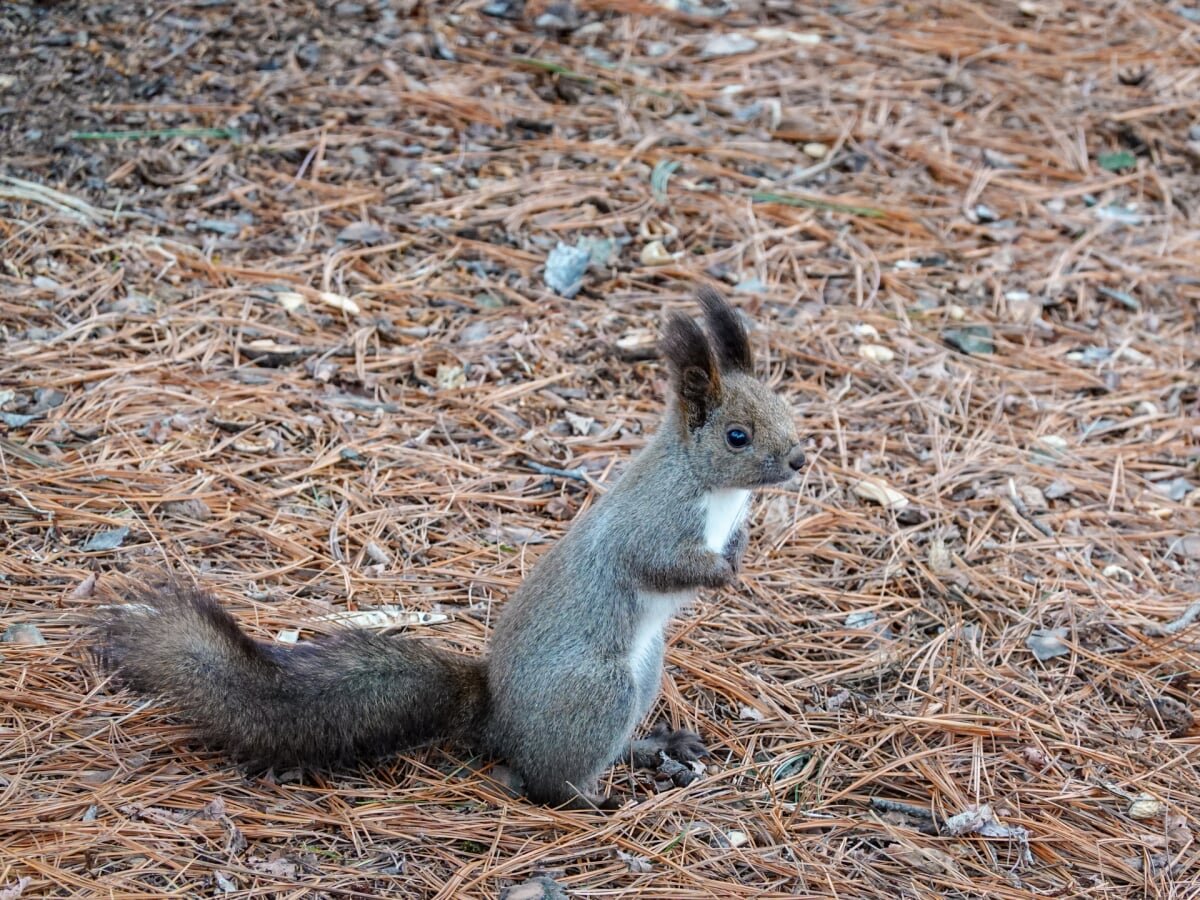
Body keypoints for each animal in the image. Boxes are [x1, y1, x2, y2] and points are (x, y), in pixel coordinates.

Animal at [96, 289, 806, 811]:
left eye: (784, 407)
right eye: (738, 436)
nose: (801, 460)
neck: (715, 492)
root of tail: (497, 721)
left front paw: (740, 555)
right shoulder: (651, 524)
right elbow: (657, 563)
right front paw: (721, 574)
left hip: (646, 668)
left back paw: (649, 748)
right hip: (597, 690)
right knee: (545, 777)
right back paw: (592, 798)